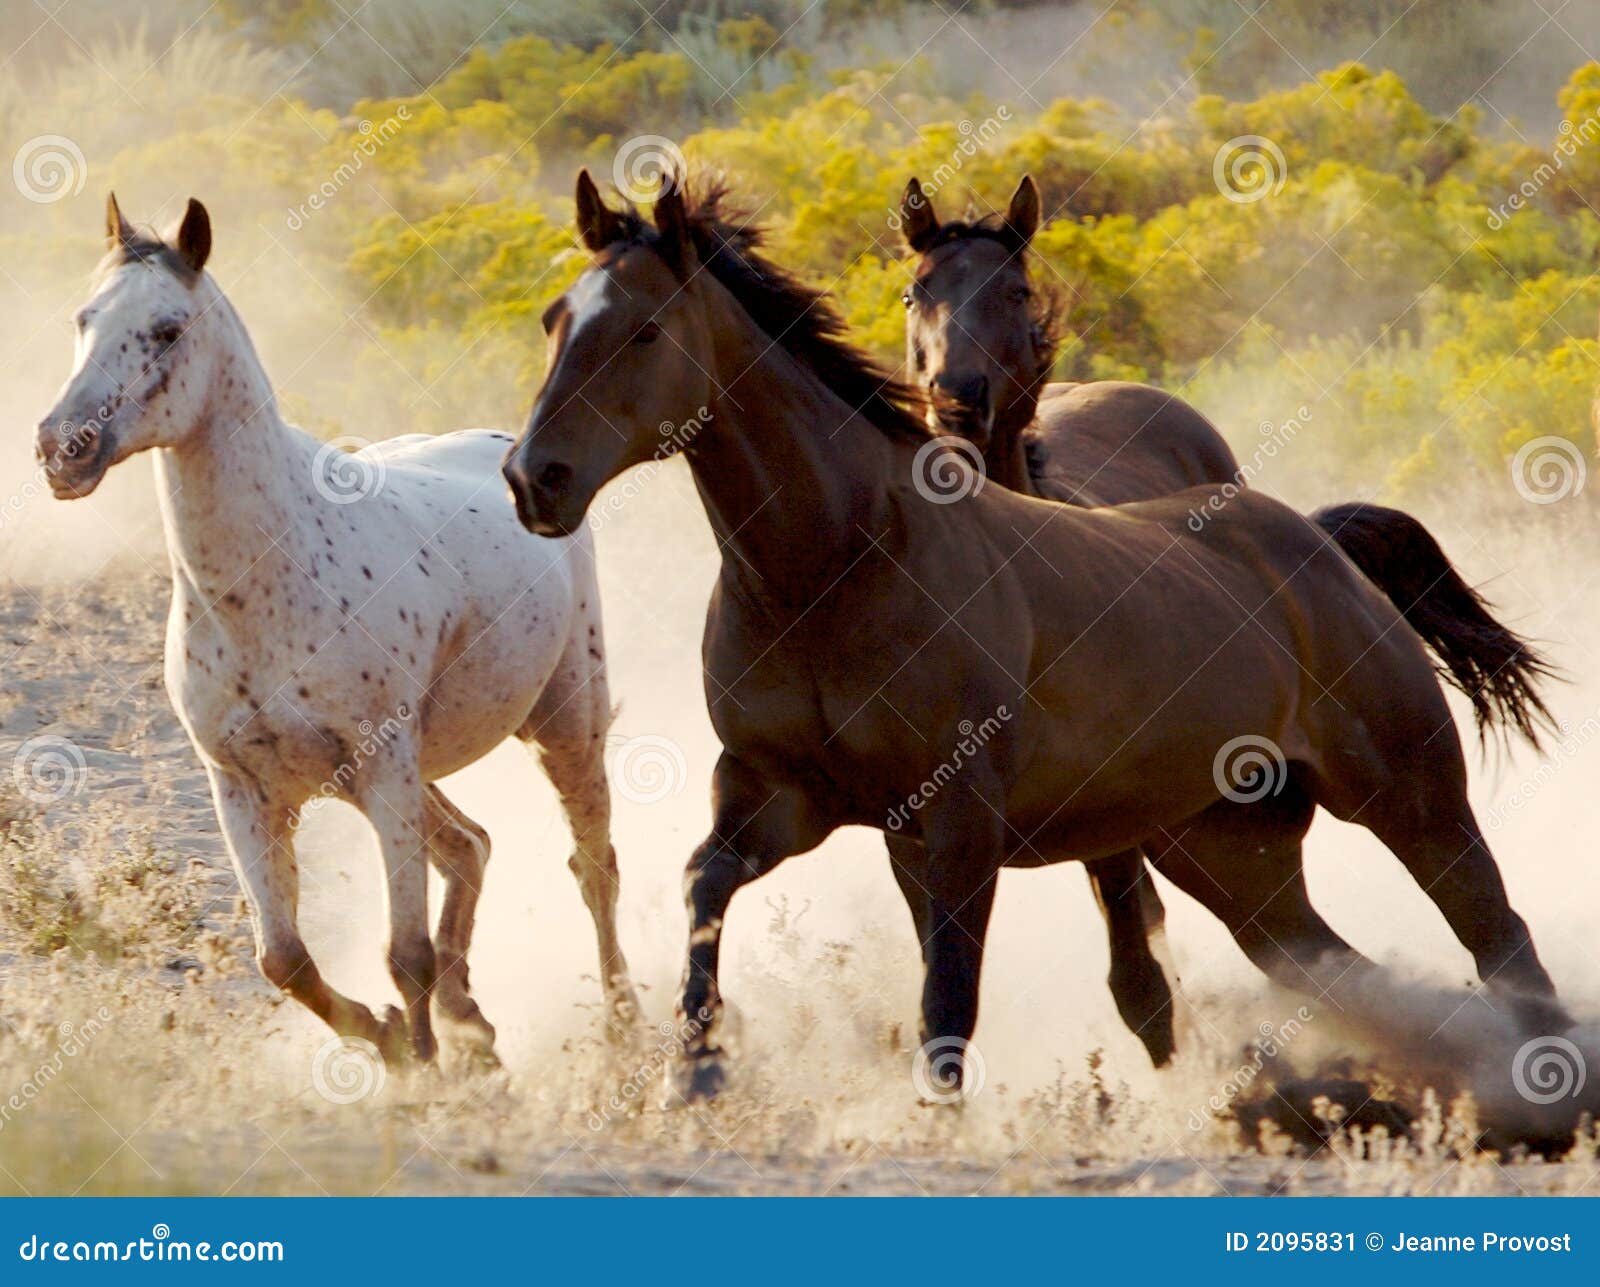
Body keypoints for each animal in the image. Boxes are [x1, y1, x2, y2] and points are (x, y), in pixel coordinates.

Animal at [36, 195, 638, 1067]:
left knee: (593, 867)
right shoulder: (242, 787)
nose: (62, 447)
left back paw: (624, 1025)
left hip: (561, 725)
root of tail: (513, 456)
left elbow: (404, 952)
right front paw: (393, 1041)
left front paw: (420, 1071)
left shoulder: (384, 766)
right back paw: (472, 1020)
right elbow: (283, 959)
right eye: (83, 318)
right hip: (394, 776)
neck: (272, 581)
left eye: (169, 328)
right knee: (471, 845)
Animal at [504, 171, 1568, 1103]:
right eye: (556, 318)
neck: (836, 567)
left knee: (1499, 936)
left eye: (644, 330)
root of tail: (1314, 539)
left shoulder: (958, 824)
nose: (532, 478)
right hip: (1229, 851)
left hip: (1409, 796)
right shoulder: (787, 797)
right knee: (1343, 972)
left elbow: (949, 1003)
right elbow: (704, 888)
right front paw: (695, 1073)